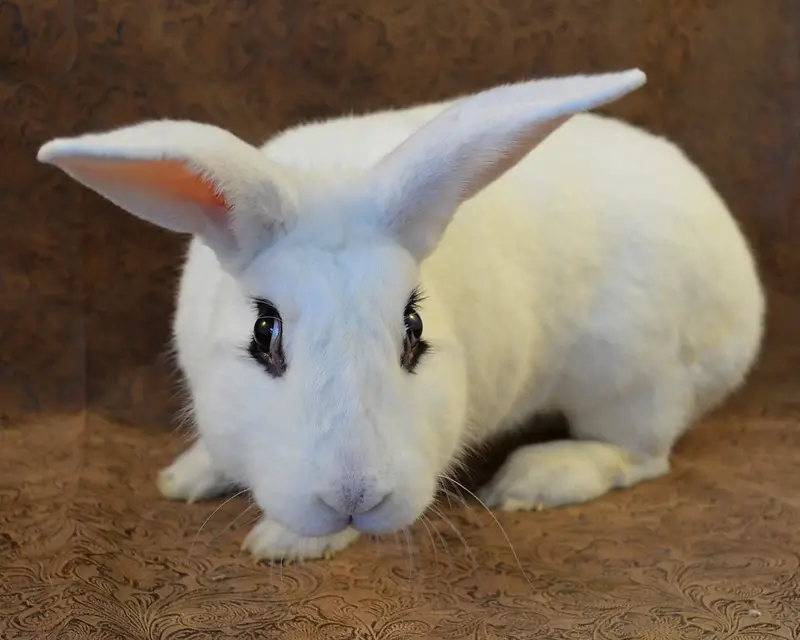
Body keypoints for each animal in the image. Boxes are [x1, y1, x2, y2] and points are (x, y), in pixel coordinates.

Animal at [36, 67, 764, 564]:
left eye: (414, 331)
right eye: (262, 332)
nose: (354, 496)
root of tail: (746, 297)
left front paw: (286, 544)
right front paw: (187, 477)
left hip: (630, 378)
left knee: (641, 454)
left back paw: (533, 479)